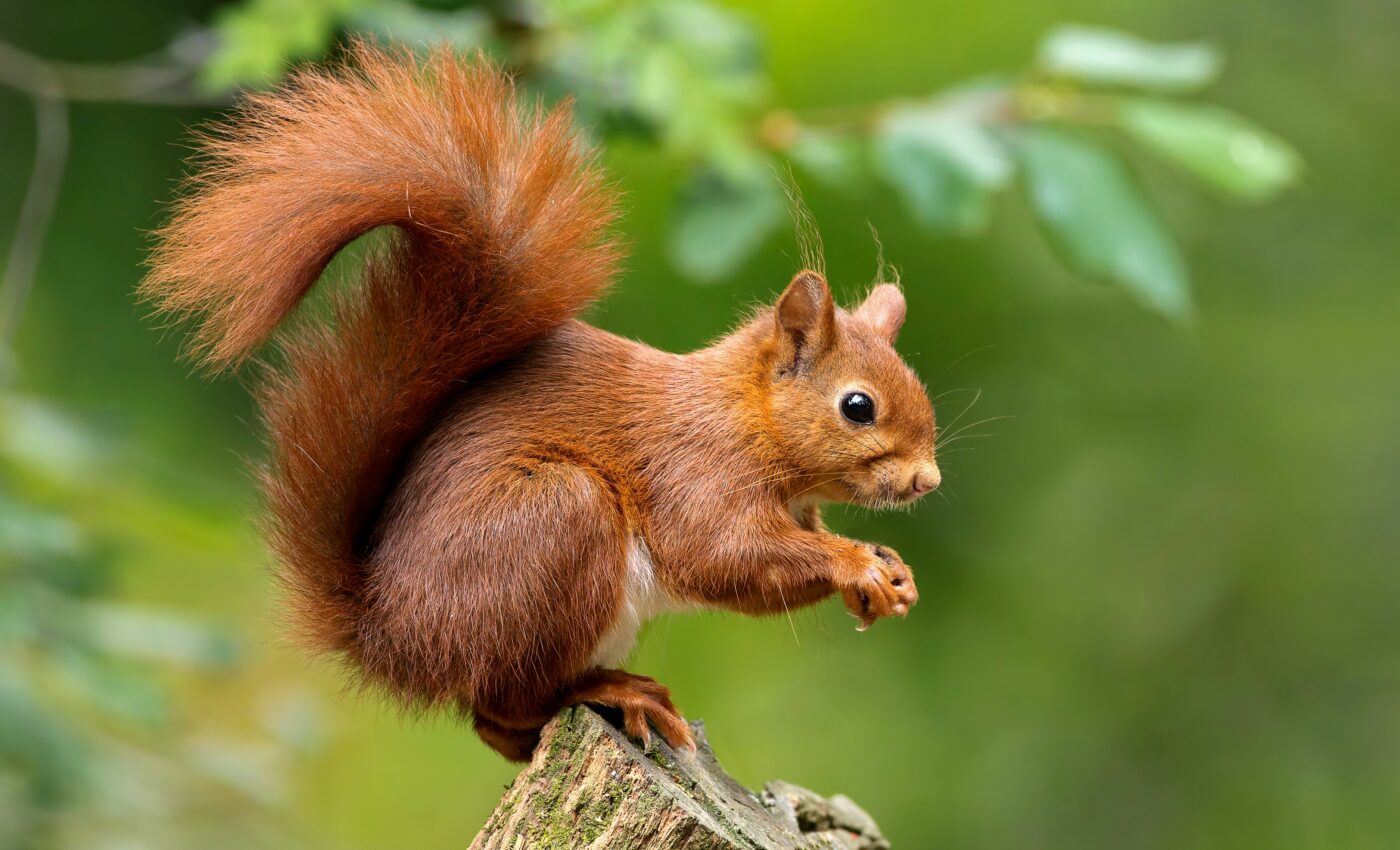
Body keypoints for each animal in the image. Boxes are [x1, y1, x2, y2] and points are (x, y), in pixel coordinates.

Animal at [142, 43, 940, 762]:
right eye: (858, 406)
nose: (927, 481)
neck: (747, 416)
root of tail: (390, 640)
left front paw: (890, 572)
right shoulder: (697, 469)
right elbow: (722, 555)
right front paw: (856, 564)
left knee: (494, 727)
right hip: (556, 523)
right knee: (504, 703)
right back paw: (610, 690)